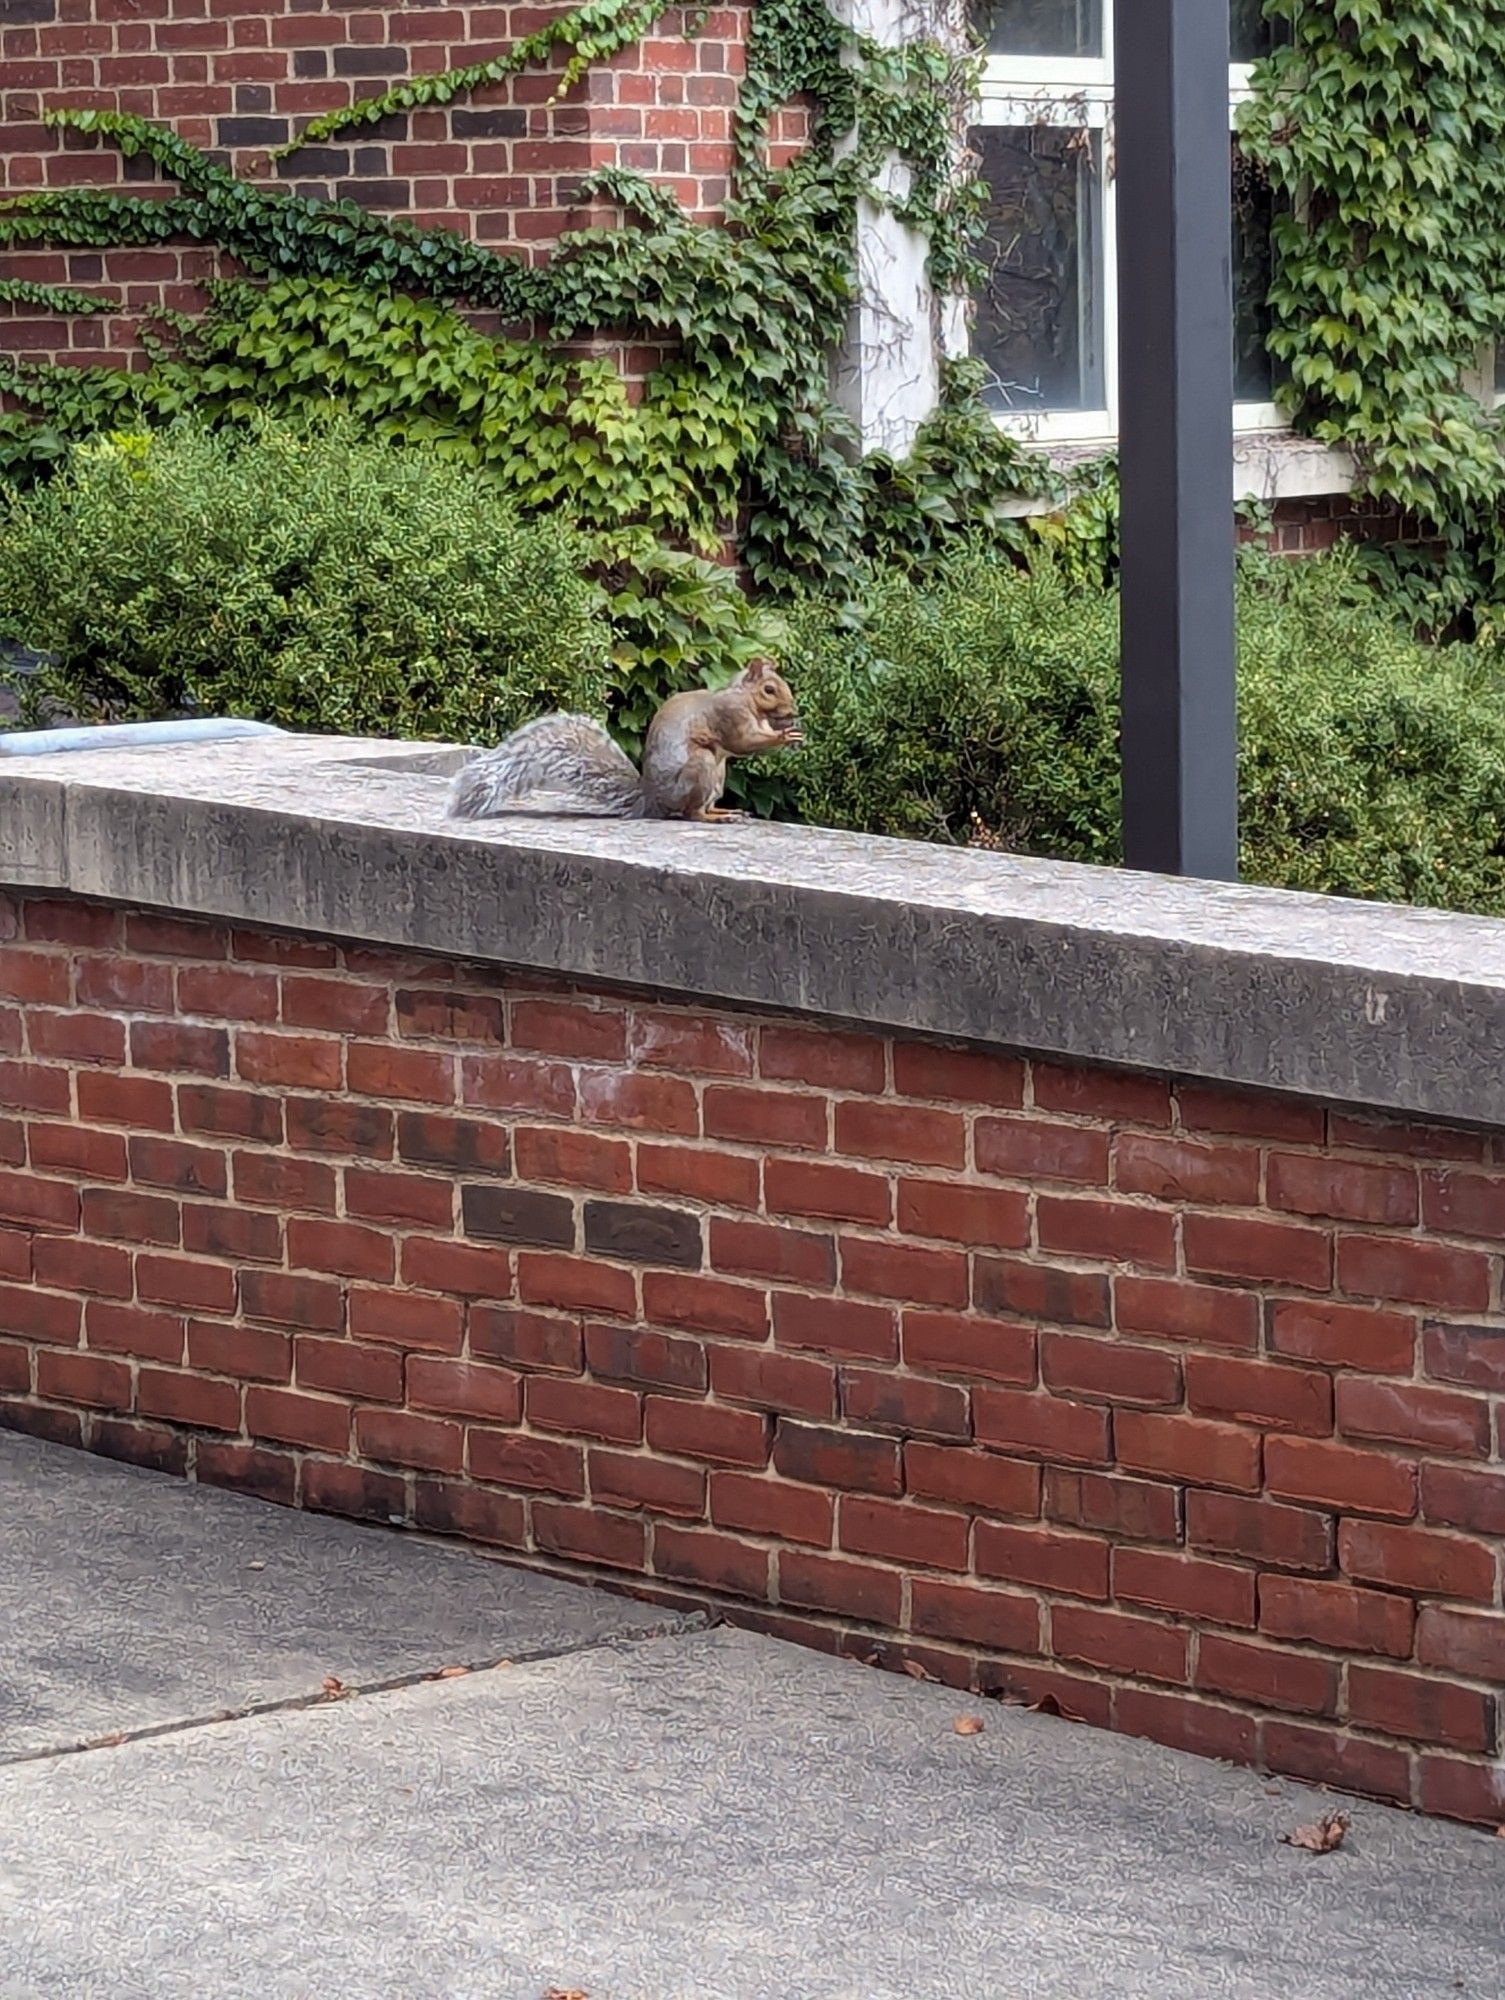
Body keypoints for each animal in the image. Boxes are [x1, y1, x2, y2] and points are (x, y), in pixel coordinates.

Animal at [444, 652, 800, 816]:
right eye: (770, 689)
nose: (793, 711)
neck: (745, 697)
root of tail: (653, 801)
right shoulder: (729, 714)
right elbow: (743, 741)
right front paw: (784, 737)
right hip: (701, 767)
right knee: (691, 814)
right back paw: (712, 817)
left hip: (718, 776)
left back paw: (724, 811)